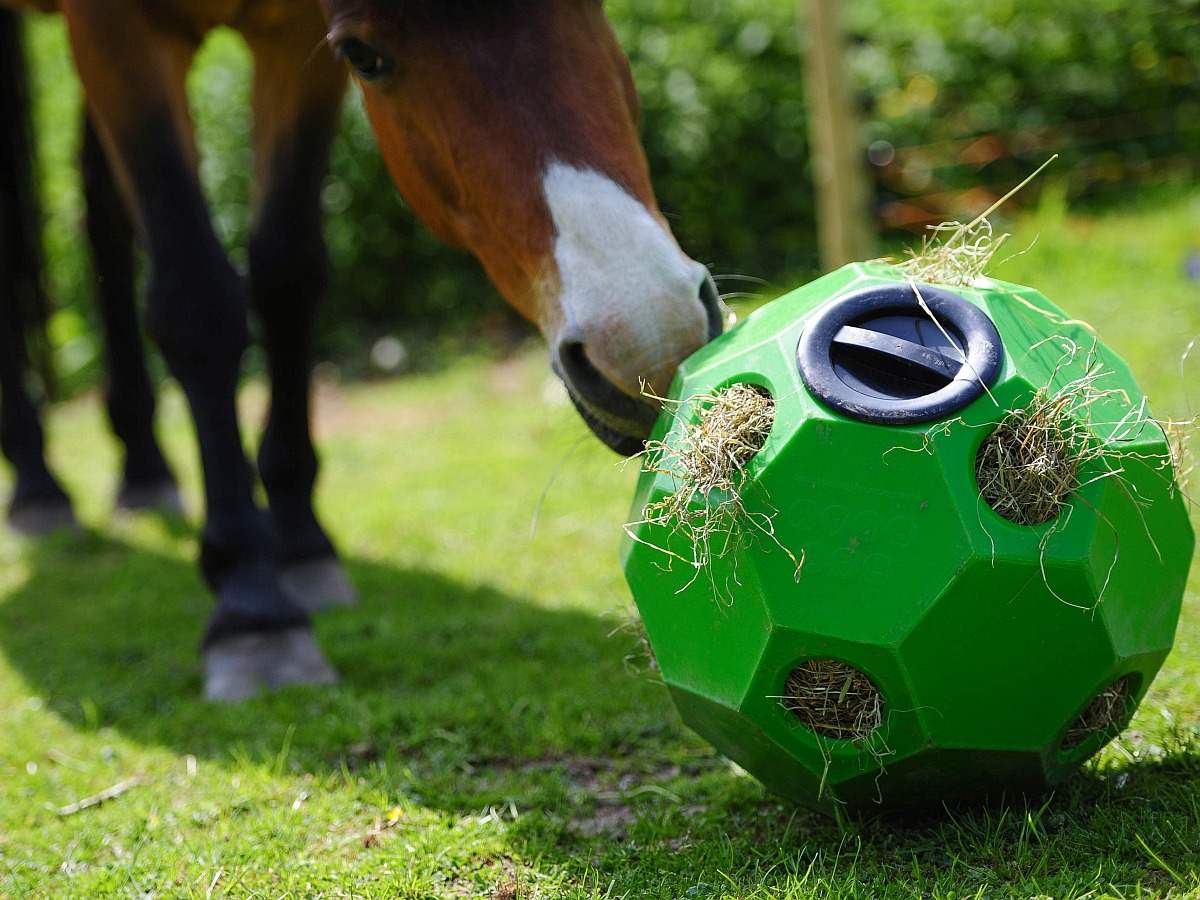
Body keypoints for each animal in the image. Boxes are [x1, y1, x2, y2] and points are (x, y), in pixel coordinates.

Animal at [0, 0, 720, 700]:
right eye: (365, 58)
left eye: (595, 7)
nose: (652, 346)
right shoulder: (120, 30)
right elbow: (195, 299)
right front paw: (253, 609)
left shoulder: (293, 40)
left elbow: (286, 269)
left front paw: (301, 543)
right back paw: (38, 487)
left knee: (101, 206)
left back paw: (144, 468)